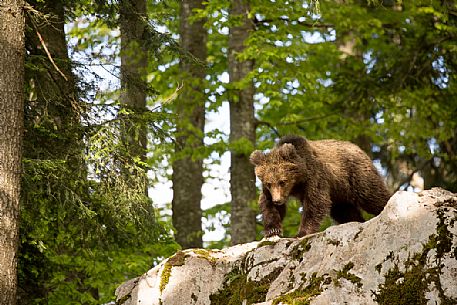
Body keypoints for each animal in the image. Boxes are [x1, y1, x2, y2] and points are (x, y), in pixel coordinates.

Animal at [249, 134, 388, 236]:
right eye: (269, 183)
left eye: (282, 181)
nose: (277, 200)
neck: (297, 183)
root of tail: (358, 148)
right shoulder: (269, 191)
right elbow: (267, 204)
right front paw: (272, 229)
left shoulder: (314, 176)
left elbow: (315, 202)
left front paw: (301, 233)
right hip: (339, 193)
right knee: (343, 211)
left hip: (355, 174)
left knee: (371, 195)